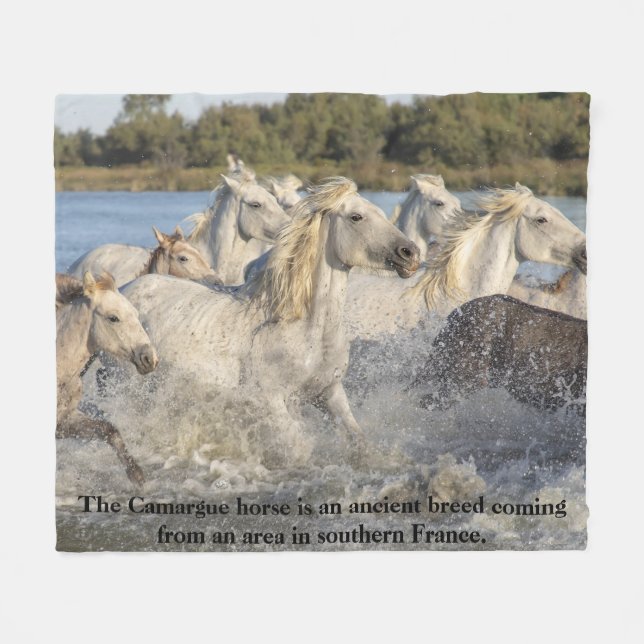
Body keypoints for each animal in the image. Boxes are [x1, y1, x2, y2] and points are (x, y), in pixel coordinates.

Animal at [56, 271, 158, 485]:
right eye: (113, 318)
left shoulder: (63, 421)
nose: (149, 358)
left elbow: (109, 430)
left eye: (136, 315)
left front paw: (136, 474)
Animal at [121, 177, 420, 465]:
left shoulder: (330, 392)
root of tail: (125, 289)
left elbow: (359, 441)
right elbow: (299, 449)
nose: (410, 253)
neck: (306, 329)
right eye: (356, 217)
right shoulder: (270, 400)